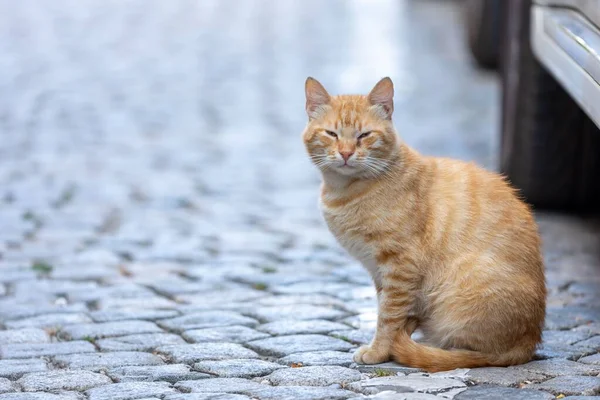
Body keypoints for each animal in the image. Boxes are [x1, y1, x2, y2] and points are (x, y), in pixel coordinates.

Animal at [302, 76, 548, 370]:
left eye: (364, 135)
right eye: (331, 134)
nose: (346, 153)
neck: (343, 191)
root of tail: (528, 341)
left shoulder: (400, 265)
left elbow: (388, 315)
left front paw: (379, 351)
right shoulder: (379, 272)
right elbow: (387, 307)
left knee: (472, 353)